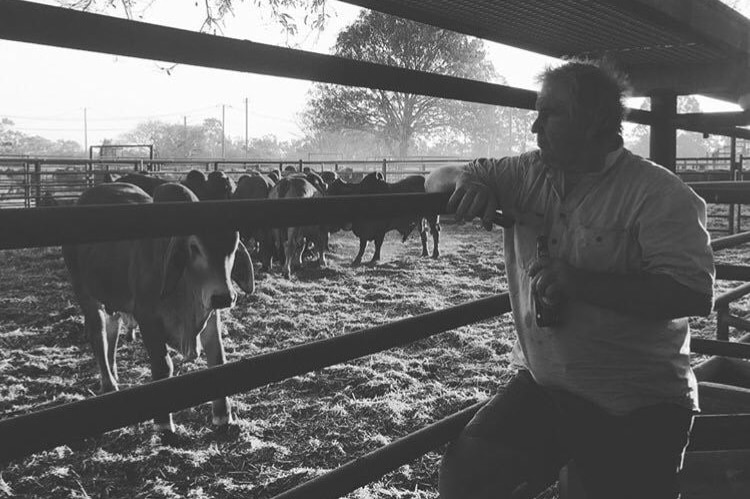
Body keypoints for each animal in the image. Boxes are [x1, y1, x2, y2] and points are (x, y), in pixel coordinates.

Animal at [63, 183, 254, 434]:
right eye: (194, 247)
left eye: (232, 248)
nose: (224, 297)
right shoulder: (148, 318)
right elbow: (163, 366)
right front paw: (164, 423)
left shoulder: (210, 316)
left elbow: (218, 359)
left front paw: (223, 415)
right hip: (85, 294)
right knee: (98, 336)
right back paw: (109, 384)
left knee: (111, 334)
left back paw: (113, 376)